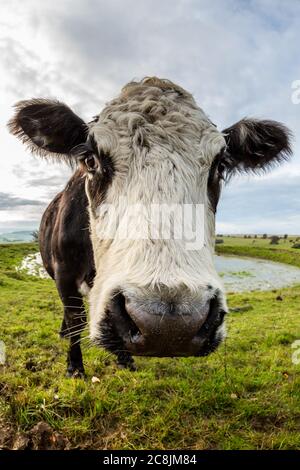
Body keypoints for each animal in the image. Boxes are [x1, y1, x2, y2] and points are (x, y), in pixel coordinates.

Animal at [7, 78, 292, 378]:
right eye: (91, 160)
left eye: (221, 165)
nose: (169, 327)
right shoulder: (64, 273)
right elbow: (76, 319)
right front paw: (75, 367)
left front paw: (124, 359)